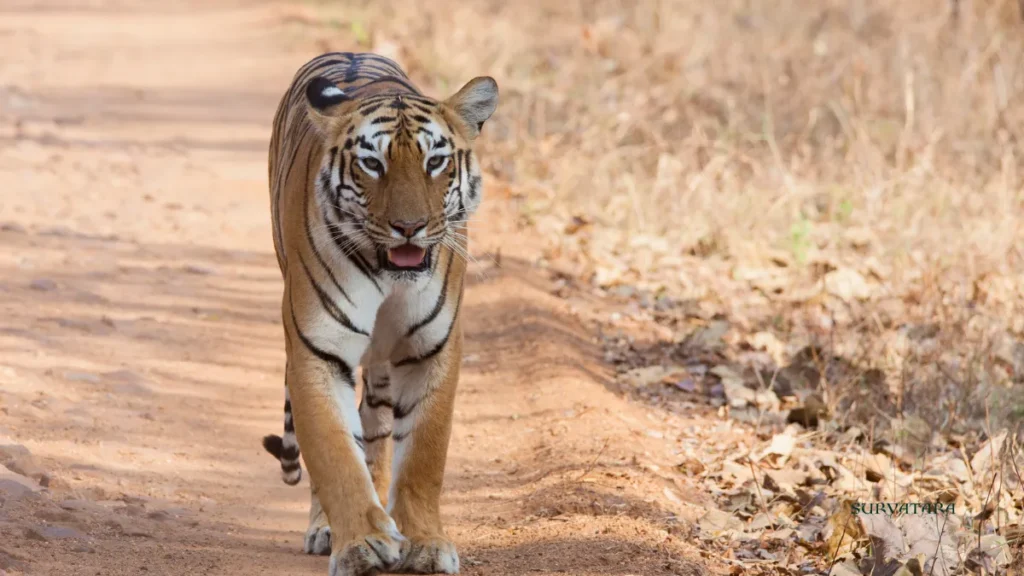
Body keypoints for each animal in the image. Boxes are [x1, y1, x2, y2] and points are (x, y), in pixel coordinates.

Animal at [260, 52, 497, 575]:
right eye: (372, 163)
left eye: (435, 162)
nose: (409, 227)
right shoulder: (317, 351)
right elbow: (334, 454)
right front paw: (361, 544)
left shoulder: (432, 349)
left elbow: (423, 455)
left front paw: (424, 542)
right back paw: (329, 529)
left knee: (378, 428)